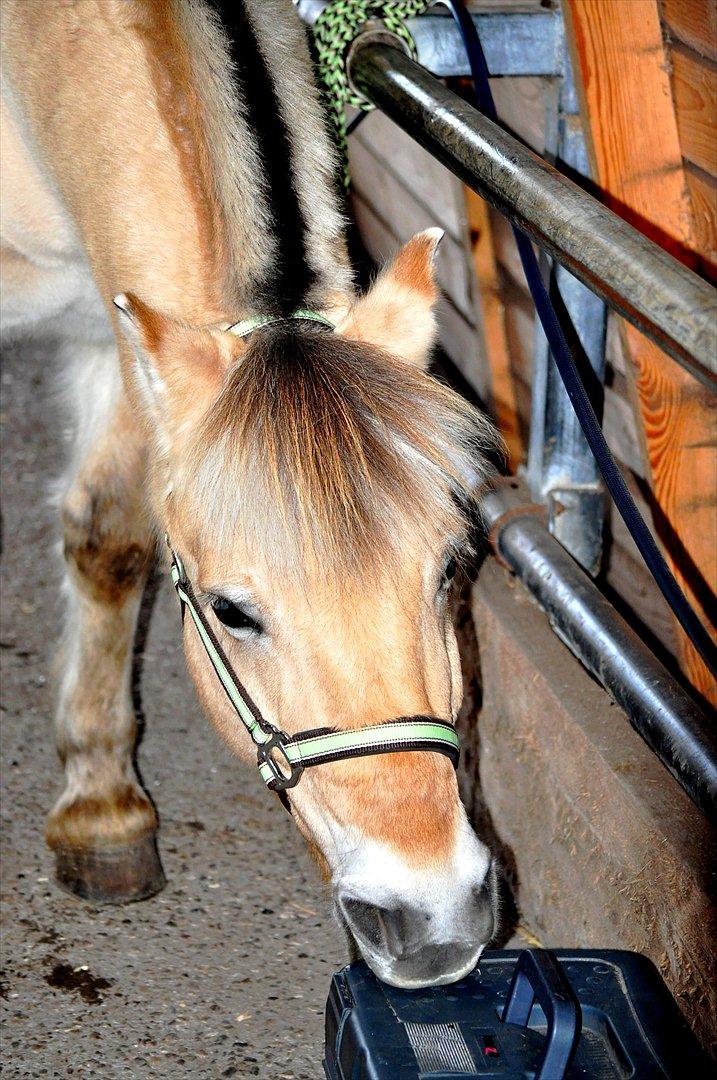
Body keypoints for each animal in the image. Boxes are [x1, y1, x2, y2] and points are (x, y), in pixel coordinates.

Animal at [1, 0, 498, 989]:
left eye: (450, 569)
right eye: (232, 612)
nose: (430, 917)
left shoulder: (117, 336)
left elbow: (109, 538)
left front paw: (100, 802)